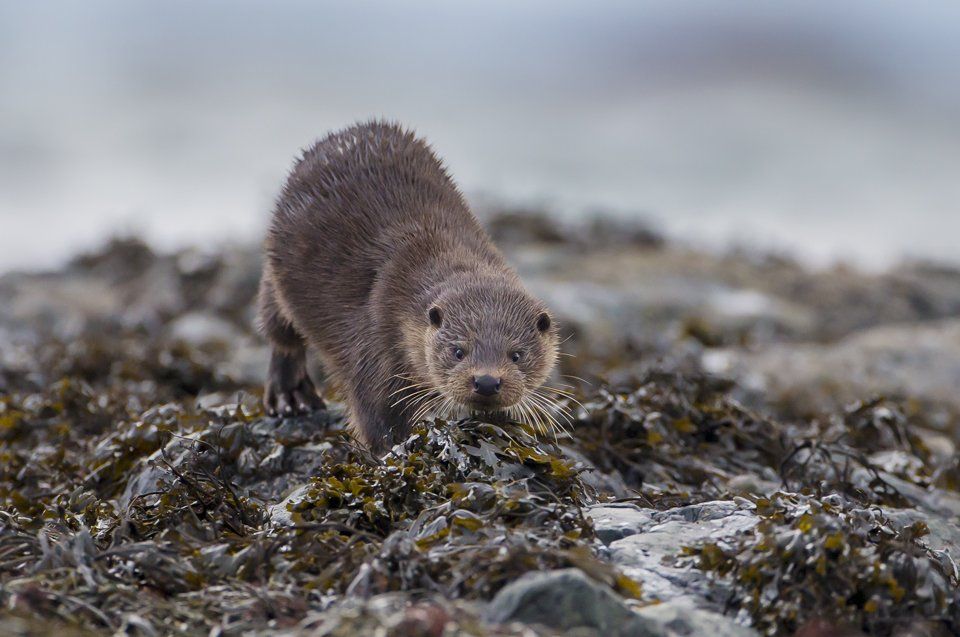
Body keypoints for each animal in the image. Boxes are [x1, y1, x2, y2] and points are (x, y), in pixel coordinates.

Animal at [257, 121, 559, 453]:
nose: (487, 381)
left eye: (517, 355)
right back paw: (289, 396)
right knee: (280, 330)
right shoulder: (374, 343)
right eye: (458, 351)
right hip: (277, 272)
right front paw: (398, 451)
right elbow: (377, 416)